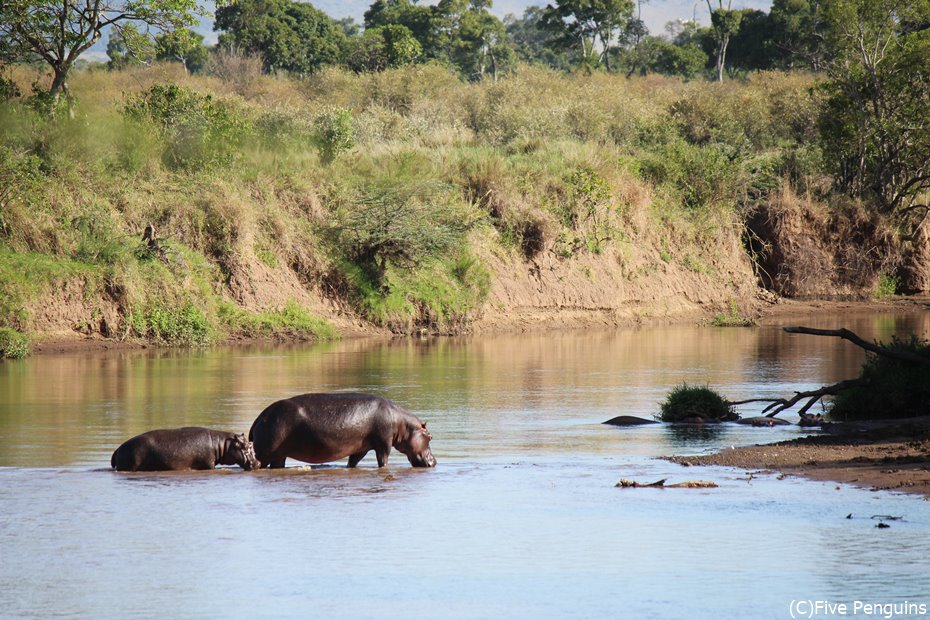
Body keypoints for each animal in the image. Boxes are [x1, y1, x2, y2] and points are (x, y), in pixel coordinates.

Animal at [110, 428, 260, 472]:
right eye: (244, 446)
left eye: (251, 444)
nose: (258, 463)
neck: (221, 445)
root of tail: (117, 449)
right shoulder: (208, 465)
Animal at [246, 394, 436, 468]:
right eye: (430, 436)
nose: (434, 461)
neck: (403, 424)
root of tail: (260, 417)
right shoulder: (384, 444)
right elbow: (383, 460)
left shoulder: (362, 447)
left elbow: (353, 461)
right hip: (265, 451)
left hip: (279, 455)